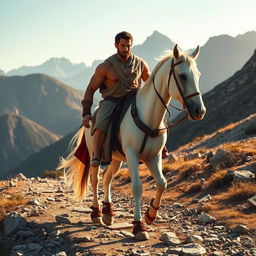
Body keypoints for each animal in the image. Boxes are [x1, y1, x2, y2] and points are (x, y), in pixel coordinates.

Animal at [58, 44, 206, 240]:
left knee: (107, 178)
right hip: (96, 153)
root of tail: (91, 117)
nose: (199, 111)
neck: (148, 116)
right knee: (95, 179)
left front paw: (151, 215)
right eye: (182, 76)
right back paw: (97, 213)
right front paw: (138, 226)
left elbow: (162, 183)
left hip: (116, 159)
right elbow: (137, 187)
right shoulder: (132, 155)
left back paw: (108, 213)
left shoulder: (154, 157)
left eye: (198, 75)